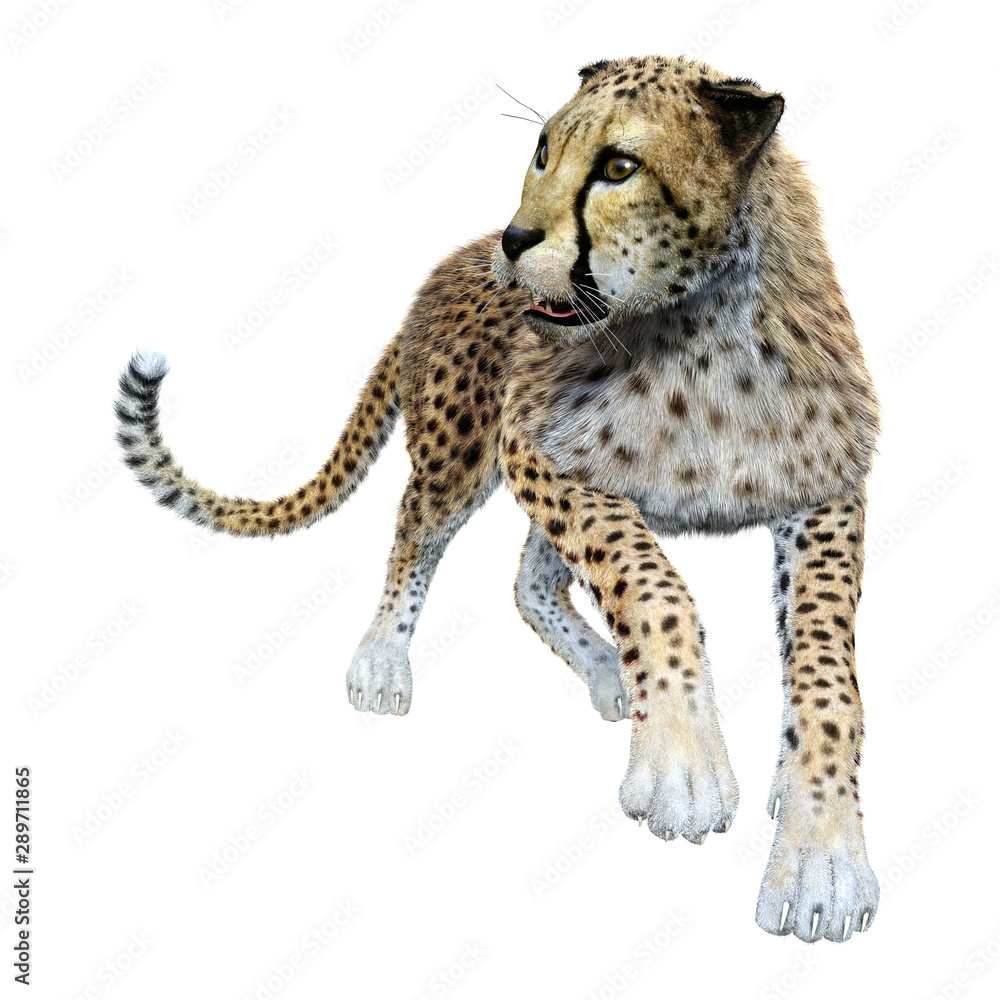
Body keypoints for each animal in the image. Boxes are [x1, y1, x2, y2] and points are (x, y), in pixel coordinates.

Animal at [115, 55, 881, 942]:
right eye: (543, 152)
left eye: (620, 167)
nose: (515, 241)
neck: (702, 324)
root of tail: (446, 266)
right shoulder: (532, 444)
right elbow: (653, 587)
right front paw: (683, 766)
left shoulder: (825, 494)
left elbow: (826, 676)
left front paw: (823, 855)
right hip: (458, 451)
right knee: (416, 533)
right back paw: (384, 660)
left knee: (529, 579)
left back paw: (608, 674)